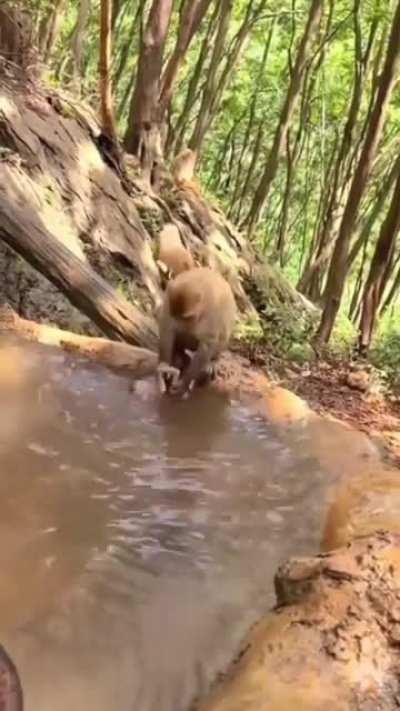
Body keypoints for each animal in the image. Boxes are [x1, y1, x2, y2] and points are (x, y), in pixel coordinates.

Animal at [157, 267, 236, 396]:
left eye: (186, 317)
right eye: (175, 315)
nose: (180, 323)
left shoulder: (212, 312)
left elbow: (207, 344)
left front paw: (184, 382)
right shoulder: (169, 300)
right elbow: (167, 326)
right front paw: (164, 367)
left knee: (223, 336)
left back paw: (213, 361)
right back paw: (179, 354)